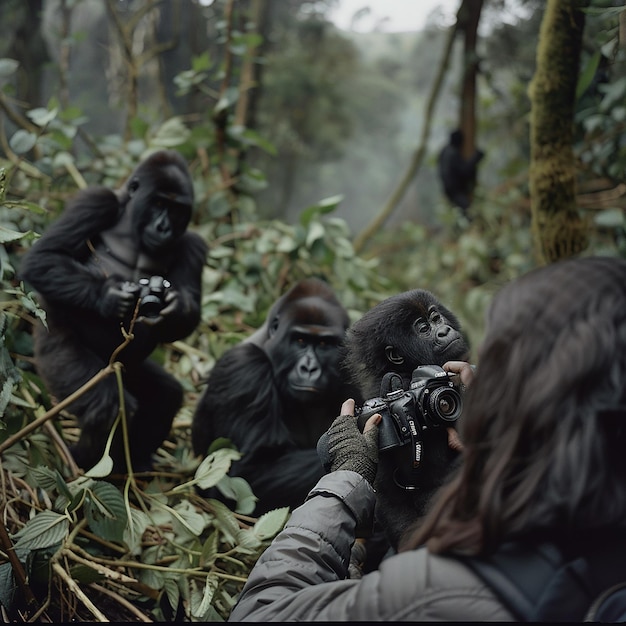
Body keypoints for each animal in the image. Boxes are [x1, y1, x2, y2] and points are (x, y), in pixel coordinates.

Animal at [18, 149, 205, 470]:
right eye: (159, 204)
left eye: (177, 210)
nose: (164, 228)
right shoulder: (95, 201)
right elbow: (44, 257)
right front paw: (108, 297)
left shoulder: (193, 245)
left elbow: (188, 314)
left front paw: (176, 307)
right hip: (52, 347)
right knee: (105, 404)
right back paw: (82, 460)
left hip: (128, 368)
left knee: (165, 396)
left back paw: (133, 461)